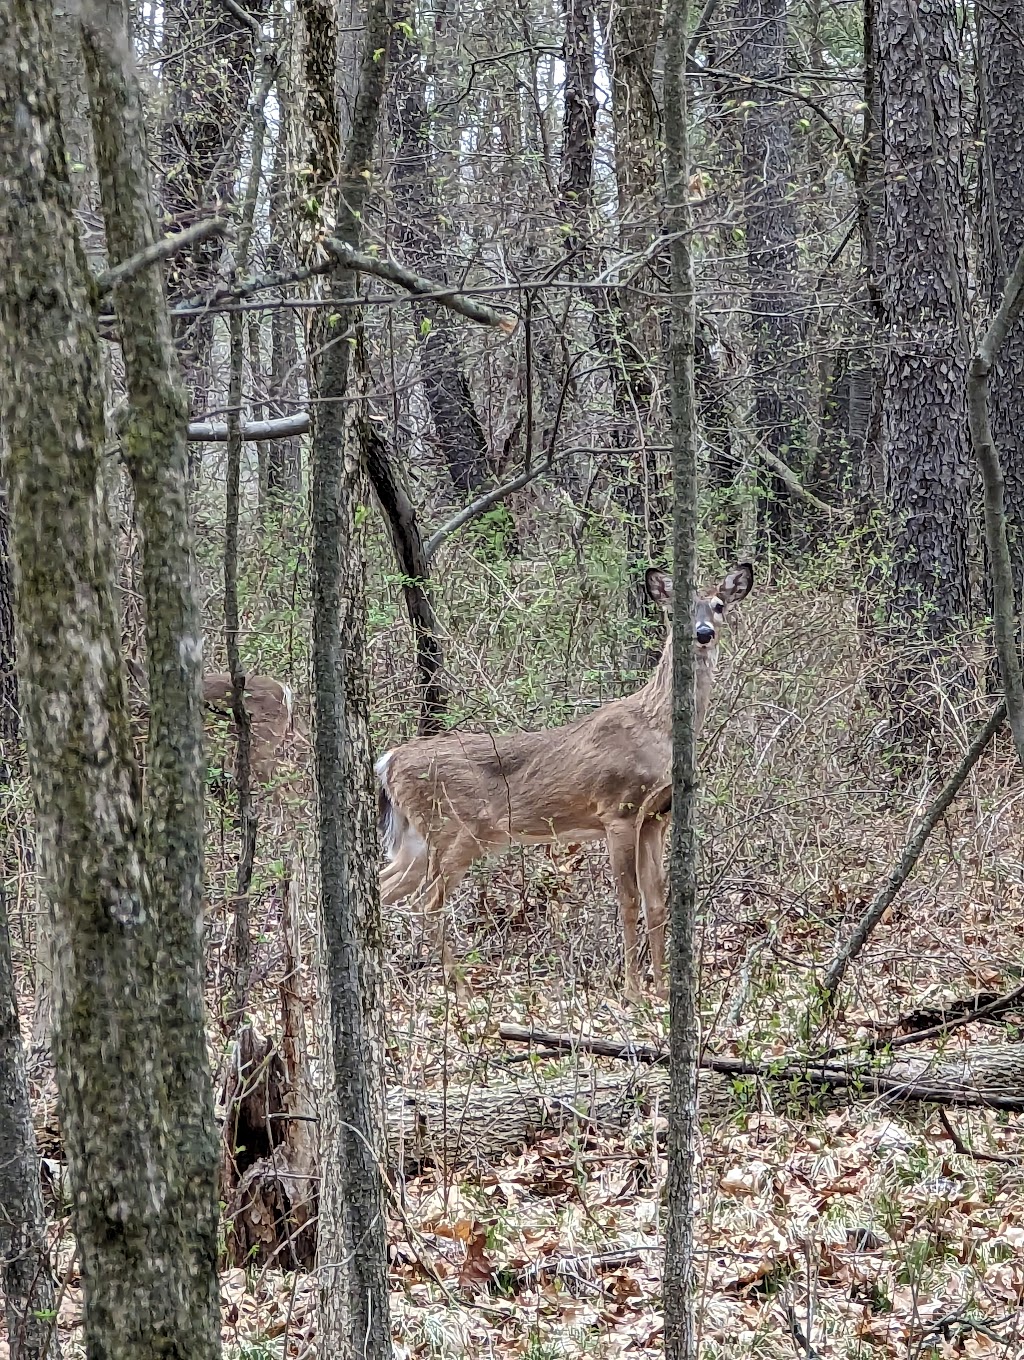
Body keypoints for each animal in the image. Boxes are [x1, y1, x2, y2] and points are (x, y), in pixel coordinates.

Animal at [375, 563, 750, 1000]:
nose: (703, 632)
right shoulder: (618, 810)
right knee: (427, 901)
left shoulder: (656, 817)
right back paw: (463, 990)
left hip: (416, 840)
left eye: (719, 605)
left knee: (380, 887)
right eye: (677, 606)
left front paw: (659, 990)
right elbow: (628, 900)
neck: (657, 728)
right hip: (456, 827)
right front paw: (632, 991)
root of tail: (390, 761)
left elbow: (656, 902)